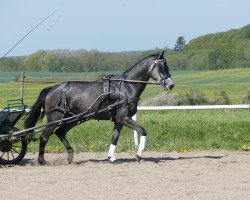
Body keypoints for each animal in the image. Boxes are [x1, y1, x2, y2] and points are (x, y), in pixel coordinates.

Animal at [24, 50, 174, 165]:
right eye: (161, 67)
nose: (171, 85)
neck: (126, 88)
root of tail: (52, 88)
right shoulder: (124, 118)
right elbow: (142, 130)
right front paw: (138, 155)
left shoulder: (118, 120)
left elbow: (114, 138)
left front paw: (111, 157)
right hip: (54, 118)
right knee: (44, 137)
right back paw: (42, 161)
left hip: (72, 118)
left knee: (60, 132)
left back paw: (70, 155)